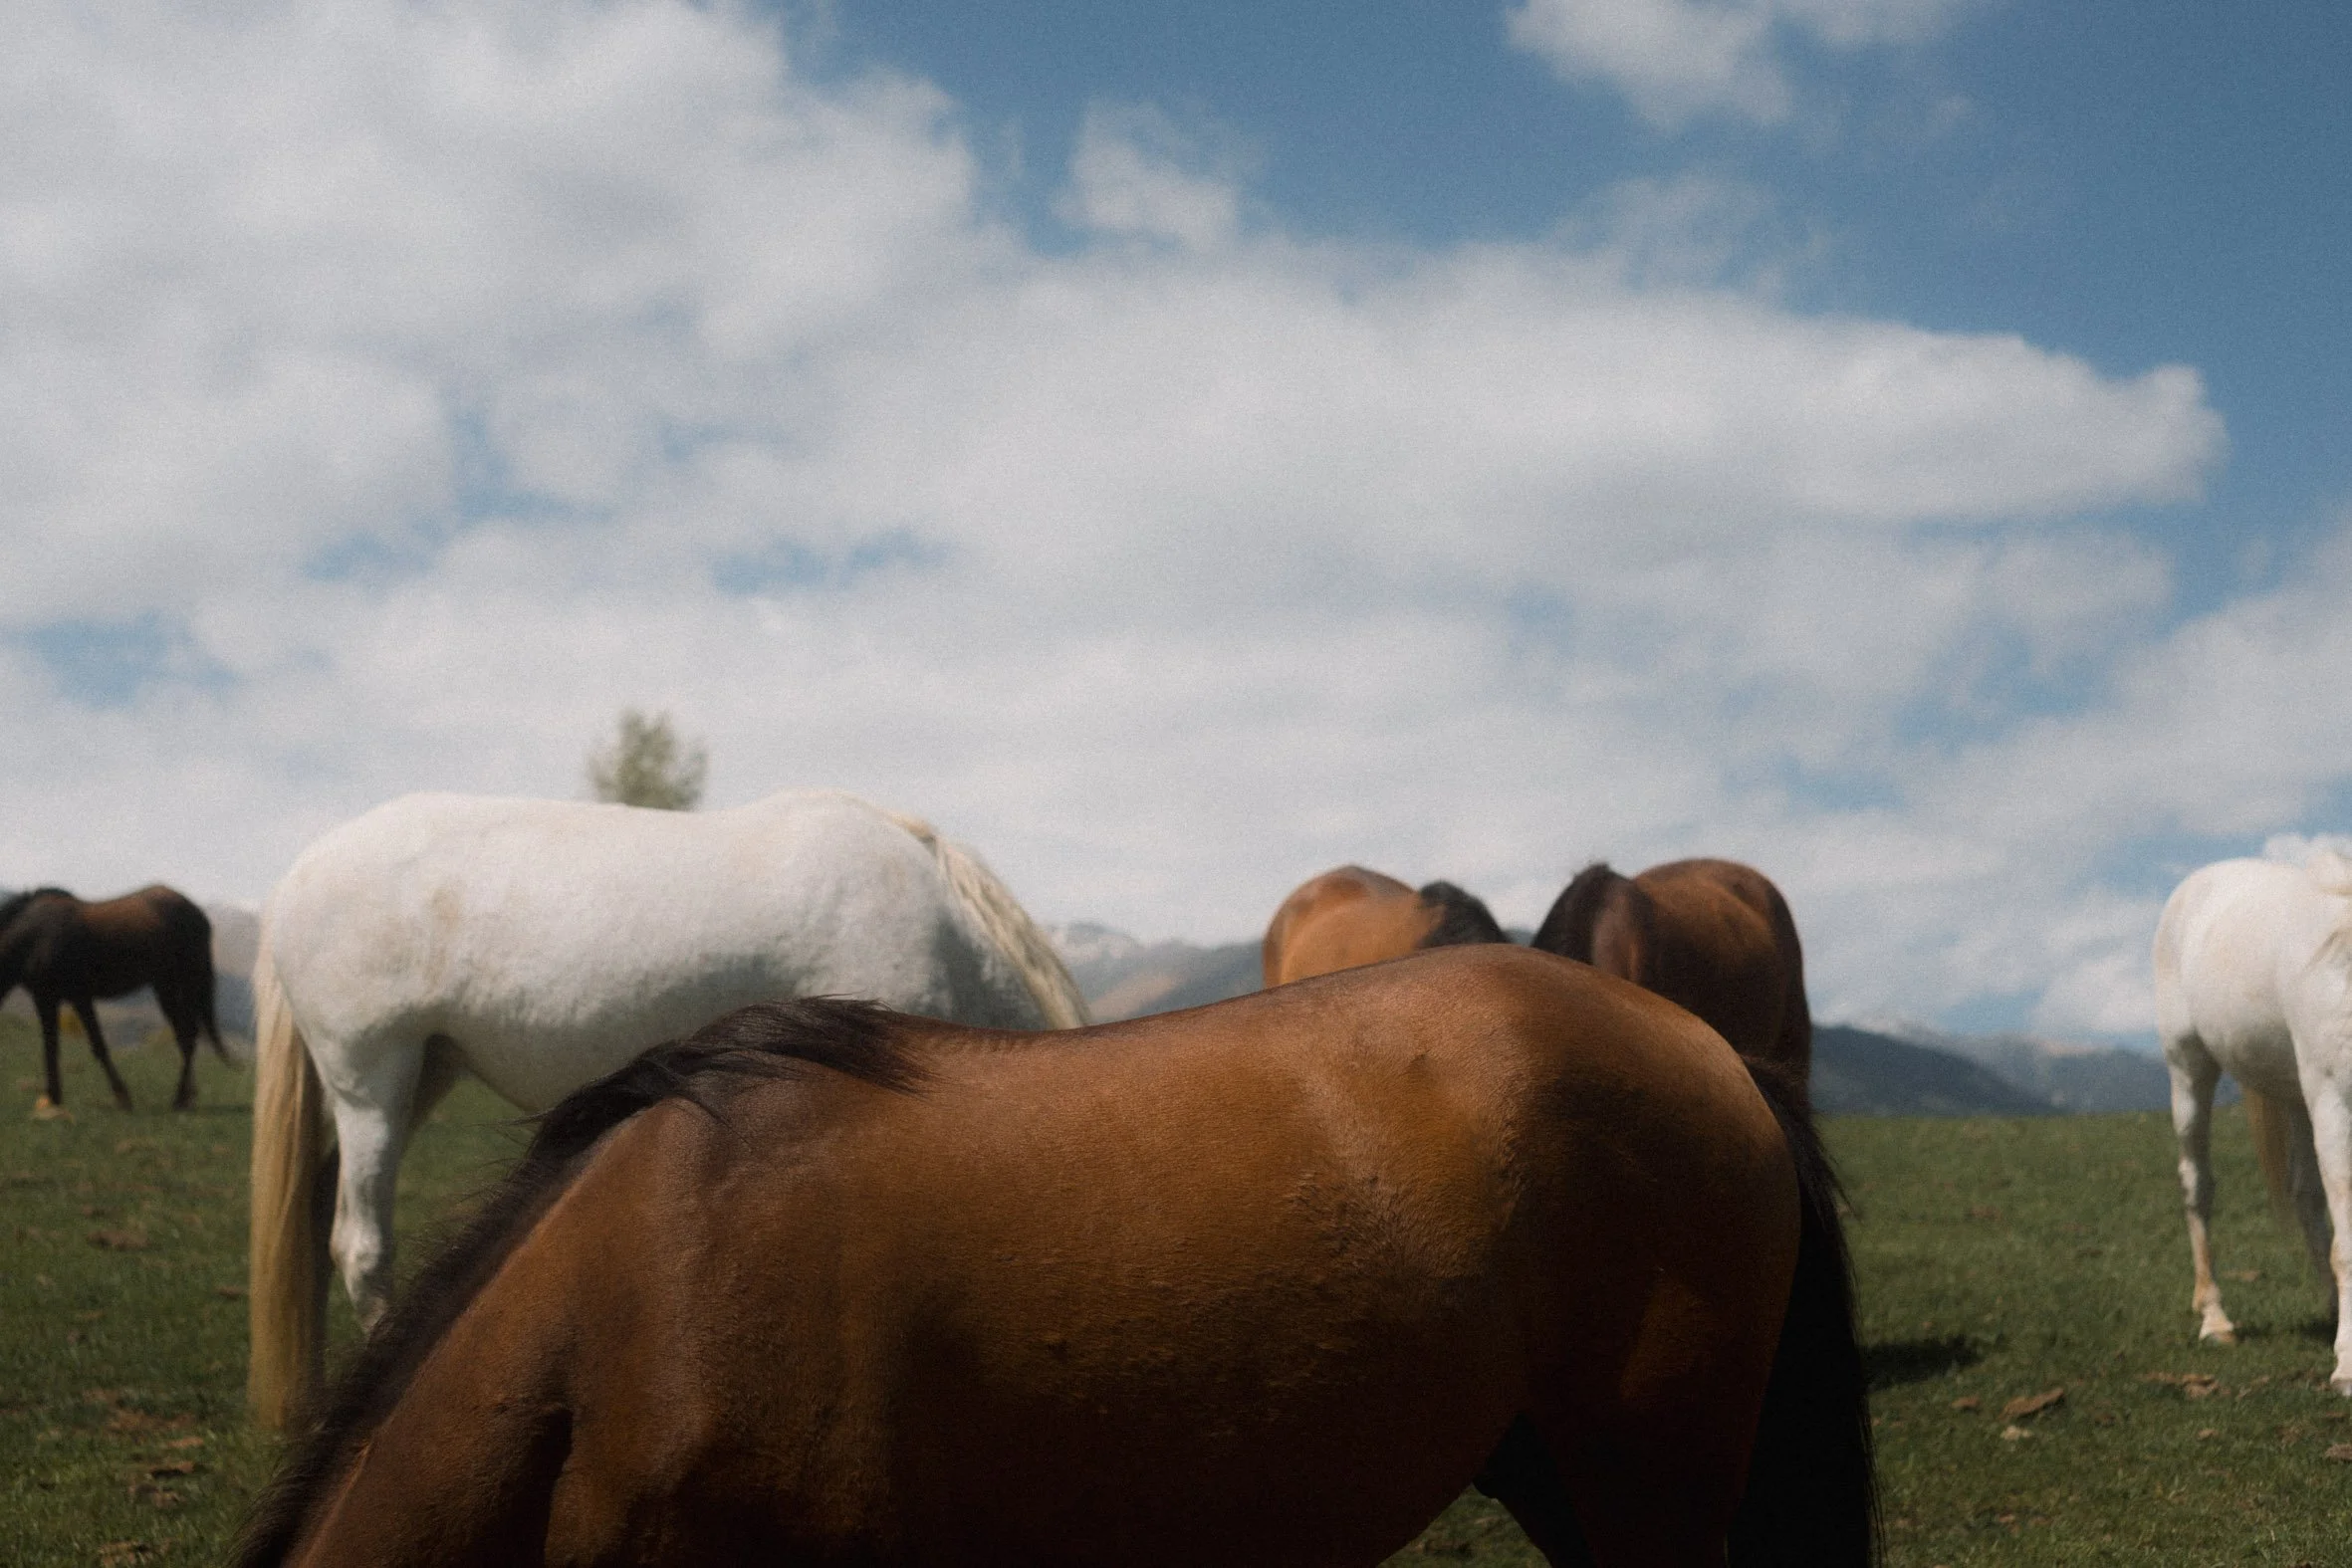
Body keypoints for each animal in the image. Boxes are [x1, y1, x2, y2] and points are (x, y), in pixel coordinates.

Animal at [0, 885, 226, 1115]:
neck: (33, 937)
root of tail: (198, 914)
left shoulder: (79, 997)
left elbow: (98, 1046)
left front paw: (122, 1096)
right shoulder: (45, 999)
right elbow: (50, 1048)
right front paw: (54, 1099)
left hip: (186, 983)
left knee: (188, 1036)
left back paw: (180, 1099)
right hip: (165, 986)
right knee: (184, 1035)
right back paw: (187, 1096)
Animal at [2154, 853, 2352, 1394]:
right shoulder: (2334, 1102)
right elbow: (2348, 1244)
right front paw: (2348, 1366)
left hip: (2296, 1096)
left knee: (2305, 1197)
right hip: (2189, 1068)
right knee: (2196, 1185)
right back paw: (2215, 1319)